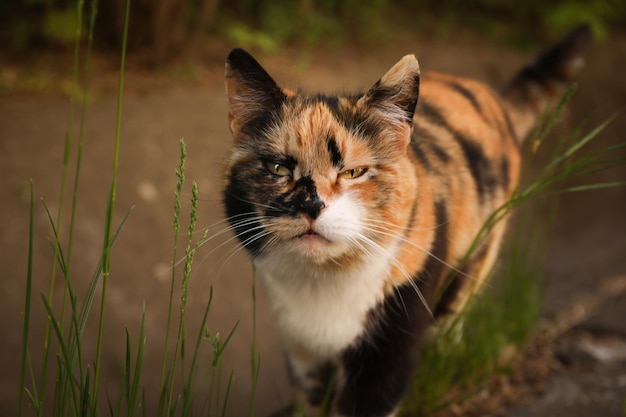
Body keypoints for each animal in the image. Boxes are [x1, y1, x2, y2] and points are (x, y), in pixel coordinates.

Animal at [223, 26, 588, 416]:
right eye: (278, 168)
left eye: (352, 172)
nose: (311, 205)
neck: (323, 283)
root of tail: (490, 95)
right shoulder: (302, 352)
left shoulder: (391, 344)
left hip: (469, 267)